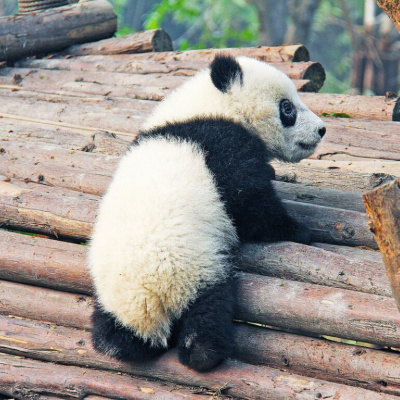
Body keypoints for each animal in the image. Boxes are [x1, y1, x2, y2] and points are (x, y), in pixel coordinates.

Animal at [87, 55, 324, 372]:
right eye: (288, 108)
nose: (321, 129)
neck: (210, 106)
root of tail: (147, 300)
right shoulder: (223, 147)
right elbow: (252, 207)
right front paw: (300, 230)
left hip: (112, 295)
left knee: (113, 331)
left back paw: (115, 343)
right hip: (195, 268)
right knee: (209, 309)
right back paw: (204, 353)